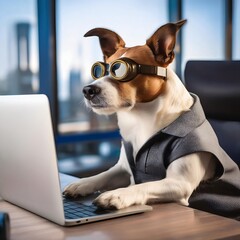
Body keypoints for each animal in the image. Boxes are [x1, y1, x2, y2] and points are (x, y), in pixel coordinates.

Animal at [63, 20, 240, 219]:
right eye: (99, 70)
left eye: (120, 69)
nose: (88, 90)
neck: (141, 118)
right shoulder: (122, 169)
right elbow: (103, 175)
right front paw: (81, 183)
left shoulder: (179, 183)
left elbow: (144, 185)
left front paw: (118, 194)